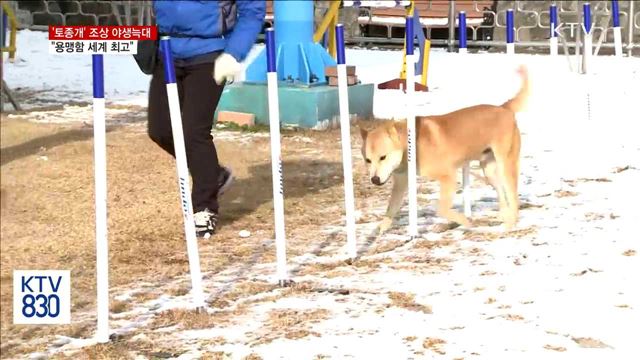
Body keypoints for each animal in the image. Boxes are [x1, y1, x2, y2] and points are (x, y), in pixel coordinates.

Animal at [360, 65, 528, 235]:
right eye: (368, 160)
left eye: (383, 157)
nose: (374, 180)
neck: (409, 144)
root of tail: (503, 108)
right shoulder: (401, 182)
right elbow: (390, 209)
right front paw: (379, 231)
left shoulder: (448, 176)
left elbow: (442, 209)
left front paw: (464, 222)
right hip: (489, 171)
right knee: (502, 193)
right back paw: (503, 216)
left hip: (506, 166)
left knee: (513, 196)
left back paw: (510, 225)